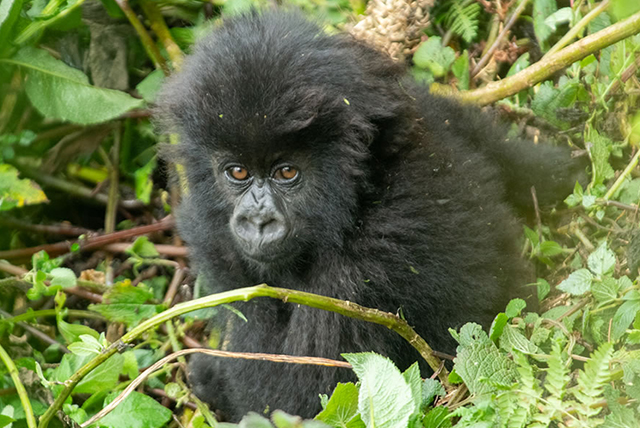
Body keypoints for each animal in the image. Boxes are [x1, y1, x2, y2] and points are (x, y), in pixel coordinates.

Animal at [156, 10, 586, 420]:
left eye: (287, 173)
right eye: (238, 172)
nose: (258, 222)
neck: (360, 195)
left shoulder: (363, 273)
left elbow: (300, 400)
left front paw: (208, 373)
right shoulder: (431, 108)